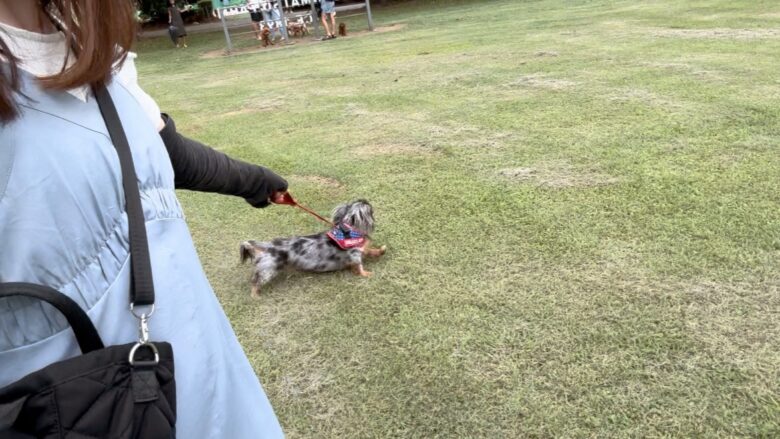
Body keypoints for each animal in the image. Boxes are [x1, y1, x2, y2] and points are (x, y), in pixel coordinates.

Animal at [238, 200, 384, 298]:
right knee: (255, 281)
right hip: (269, 270)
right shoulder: (355, 255)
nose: (365, 200)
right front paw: (367, 274)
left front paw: (381, 250)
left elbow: (371, 251)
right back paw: (255, 295)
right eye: (367, 208)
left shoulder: (360, 251)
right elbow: (360, 267)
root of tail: (269, 245)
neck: (347, 232)